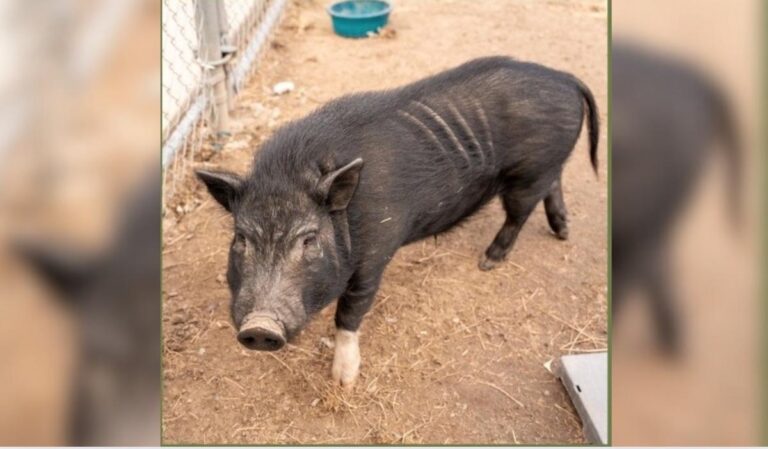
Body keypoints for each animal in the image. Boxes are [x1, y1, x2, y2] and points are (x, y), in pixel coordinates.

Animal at [197, 56, 599, 387]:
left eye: (309, 239)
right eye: (240, 239)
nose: (259, 327)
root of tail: (563, 76)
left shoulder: (374, 254)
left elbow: (349, 313)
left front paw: (343, 382)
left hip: (529, 172)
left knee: (520, 212)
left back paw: (489, 261)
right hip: (543, 168)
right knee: (554, 185)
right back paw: (563, 232)